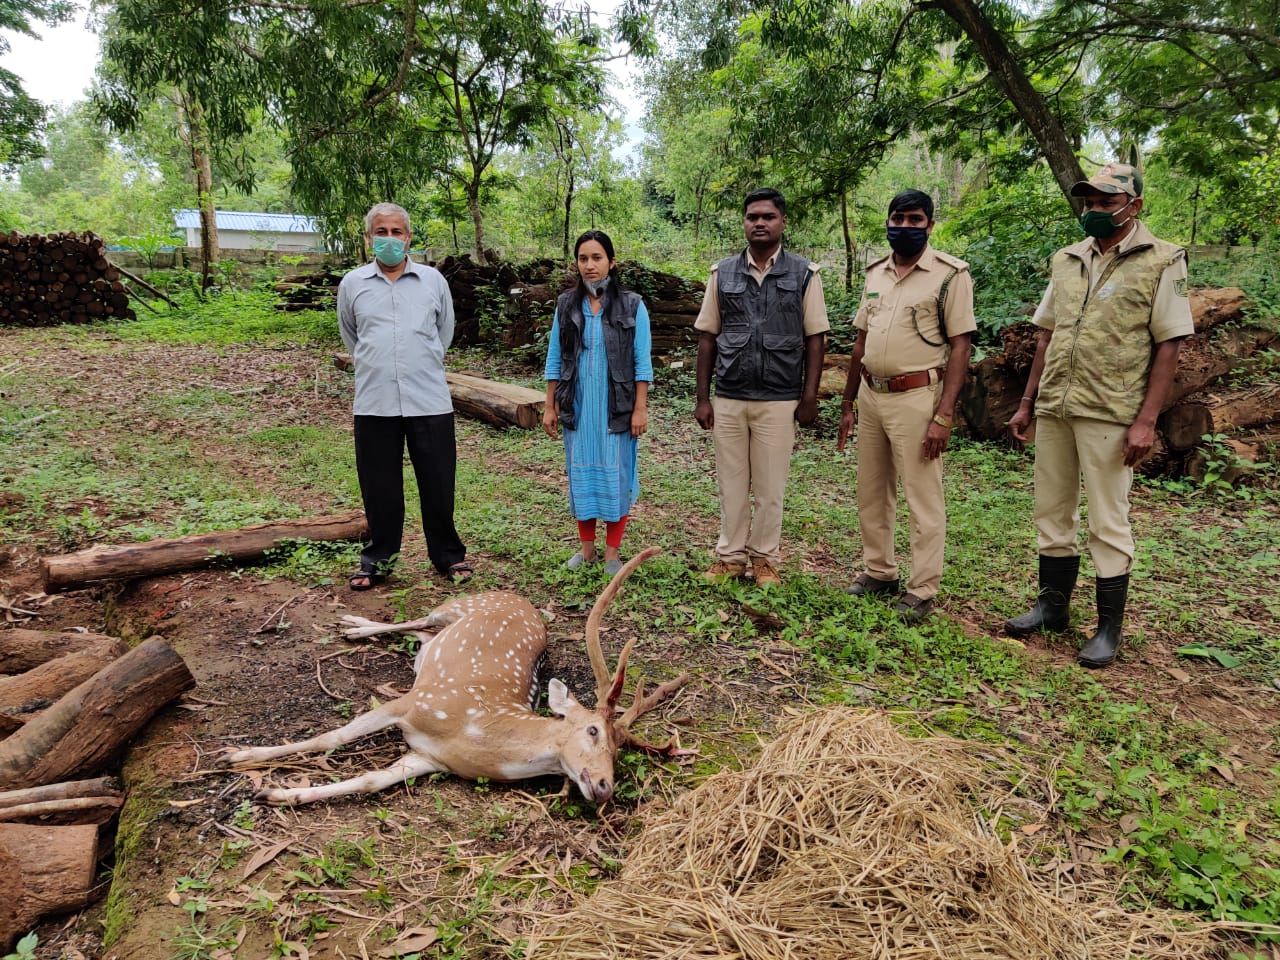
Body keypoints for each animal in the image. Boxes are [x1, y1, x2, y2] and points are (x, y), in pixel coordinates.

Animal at [220, 547, 691, 803]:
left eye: (620, 753)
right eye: (593, 731)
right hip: (454, 605)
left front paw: (276, 793)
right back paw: (352, 623)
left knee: (420, 634)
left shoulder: (428, 758)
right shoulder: (414, 701)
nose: (606, 786)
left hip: (439, 629)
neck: (471, 730)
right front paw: (238, 757)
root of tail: (518, 596)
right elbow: (330, 738)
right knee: (414, 620)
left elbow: (368, 781)